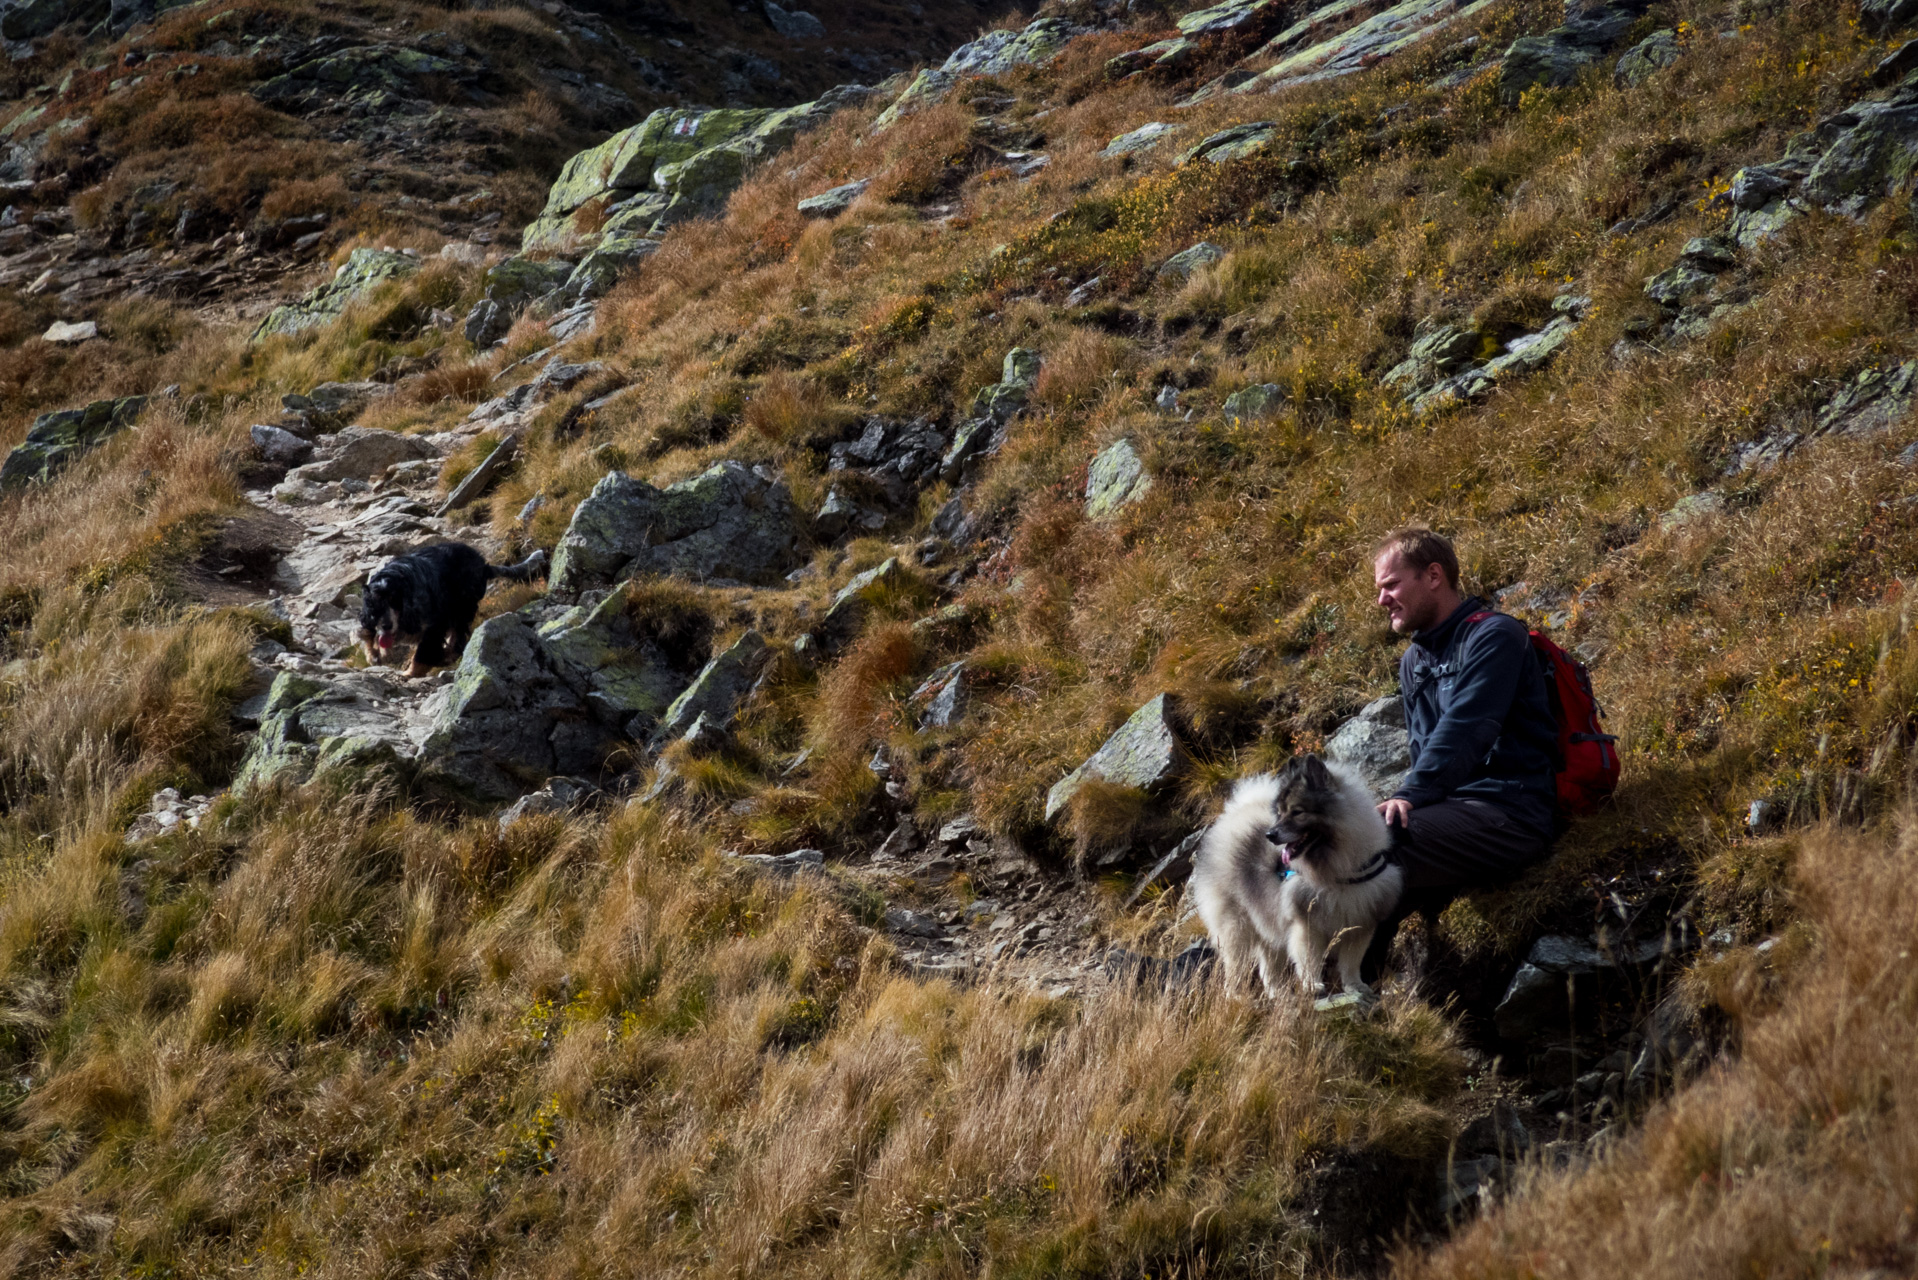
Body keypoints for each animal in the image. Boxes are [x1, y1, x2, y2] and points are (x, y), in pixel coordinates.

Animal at [358, 545, 548, 675]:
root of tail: (483, 565)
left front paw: (410, 673)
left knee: (458, 636)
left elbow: (423, 652)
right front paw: (374, 655)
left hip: (463, 606)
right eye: (375, 604)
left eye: (395, 602)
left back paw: (447, 656)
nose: (387, 626)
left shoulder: (434, 625)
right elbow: (368, 635)